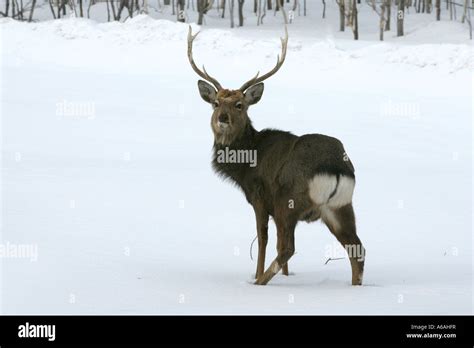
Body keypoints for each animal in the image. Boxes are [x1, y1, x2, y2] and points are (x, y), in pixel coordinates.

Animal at [187, 24, 364, 286]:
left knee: (287, 248)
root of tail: (337, 169)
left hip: (288, 199)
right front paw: (288, 276)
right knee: (357, 248)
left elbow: (262, 239)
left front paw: (256, 273)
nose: (222, 118)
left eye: (240, 105)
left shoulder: (260, 197)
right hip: (340, 205)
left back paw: (260, 282)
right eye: (215, 103)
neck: (246, 163)